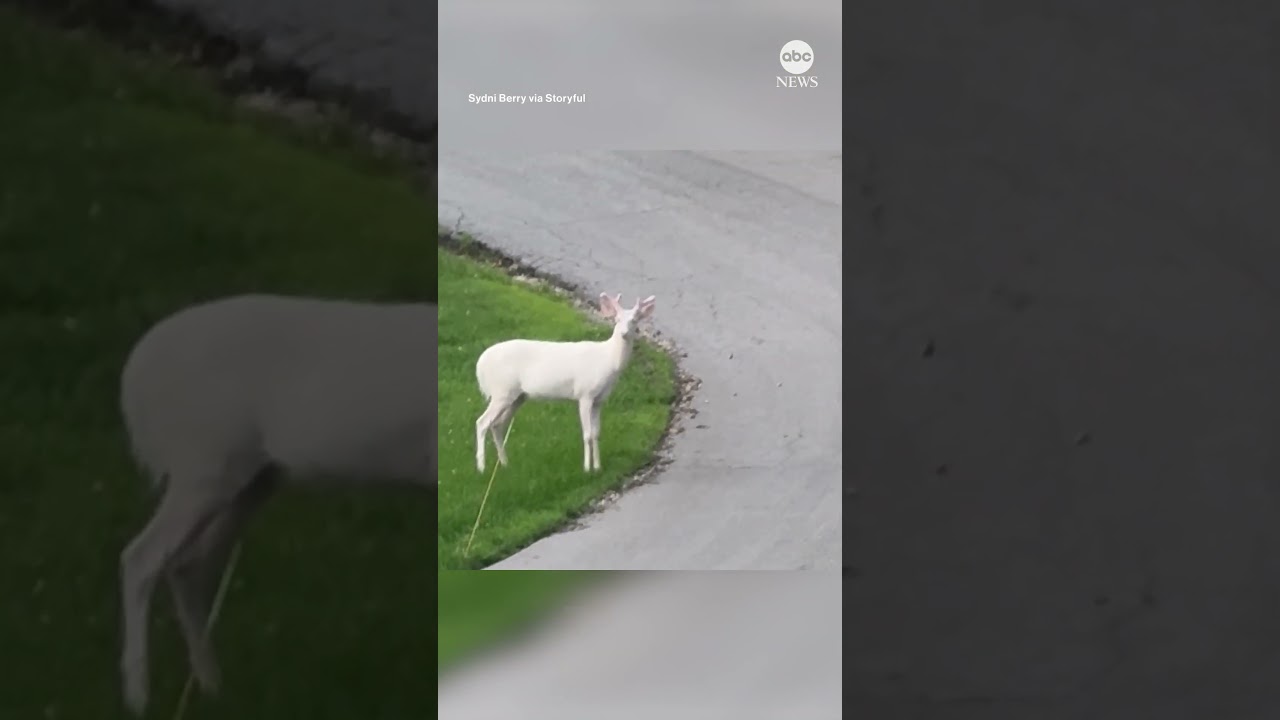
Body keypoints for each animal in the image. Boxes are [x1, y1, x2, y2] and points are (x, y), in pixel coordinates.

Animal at [115, 294, 437, 716]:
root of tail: (135, 377)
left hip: (250, 479)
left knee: (187, 565)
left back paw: (212, 685)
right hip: (203, 462)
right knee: (140, 558)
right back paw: (139, 698)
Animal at [474, 293, 656, 474]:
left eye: (635, 320)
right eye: (616, 319)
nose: (624, 333)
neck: (608, 362)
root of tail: (480, 364)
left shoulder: (600, 400)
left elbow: (596, 433)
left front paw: (598, 467)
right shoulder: (585, 393)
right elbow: (587, 434)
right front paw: (587, 468)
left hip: (517, 396)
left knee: (497, 425)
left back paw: (505, 463)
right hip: (501, 391)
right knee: (482, 422)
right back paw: (482, 467)